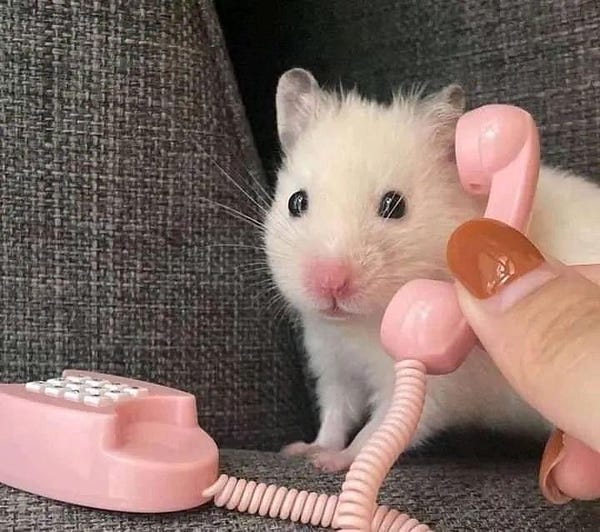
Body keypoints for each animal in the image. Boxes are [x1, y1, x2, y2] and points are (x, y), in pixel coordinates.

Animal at [264, 67, 600, 474]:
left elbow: (379, 429)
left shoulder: (431, 383)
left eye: (394, 206)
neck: (359, 325)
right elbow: (335, 412)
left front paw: (331, 462)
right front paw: (303, 450)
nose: (330, 283)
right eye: (296, 202)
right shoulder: (332, 362)